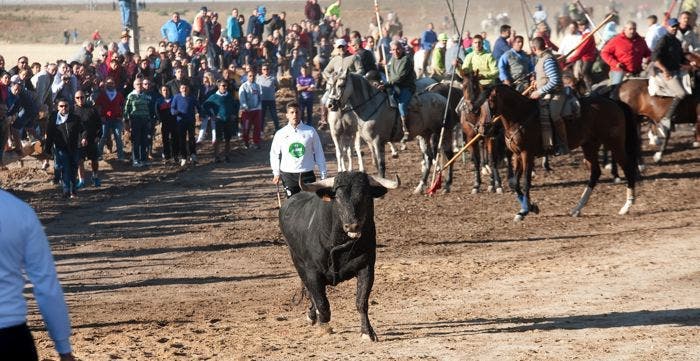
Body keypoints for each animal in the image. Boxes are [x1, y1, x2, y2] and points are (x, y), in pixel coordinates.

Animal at [278, 172, 400, 340]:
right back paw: (312, 316)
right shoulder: (312, 272)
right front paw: (323, 325)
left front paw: (367, 332)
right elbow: (322, 304)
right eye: (338, 197)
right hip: (298, 262)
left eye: (365, 195)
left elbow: (361, 302)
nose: (352, 225)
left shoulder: (367, 268)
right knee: (311, 293)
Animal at [326, 70, 456, 194]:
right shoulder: (370, 143)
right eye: (329, 86)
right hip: (424, 135)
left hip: (441, 132)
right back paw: (420, 187)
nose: (330, 105)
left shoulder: (378, 141)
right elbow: (376, 164)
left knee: (448, 155)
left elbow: (381, 165)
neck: (371, 105)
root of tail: (443, 99)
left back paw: (447, 185)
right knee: (429, 158)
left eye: (341, 85)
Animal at [476, 84, 640, 221]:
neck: (520, 116)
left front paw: (526, 210)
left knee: (627, 168)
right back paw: (577, 208)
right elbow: (514, 182)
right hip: (589, 145)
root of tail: (614, 103)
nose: (482, 129)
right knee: (595, 172)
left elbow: (525, 182)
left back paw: (626, 206)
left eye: (490, 101)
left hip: (614, 144)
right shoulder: (517, 155)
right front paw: (529, 208)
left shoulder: (527, 154)